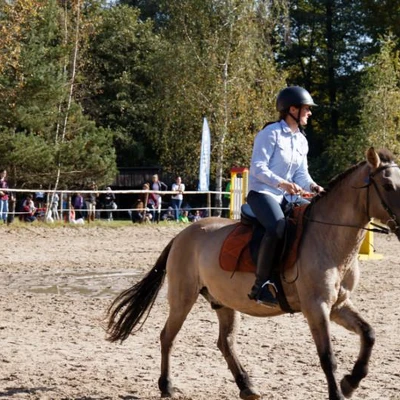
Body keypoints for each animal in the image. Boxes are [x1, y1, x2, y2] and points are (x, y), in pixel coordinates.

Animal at [105, 148, 400, 400]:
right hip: (182, 299)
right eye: (388, 186)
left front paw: (351, 382)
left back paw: (246, 385)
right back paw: (167, 386)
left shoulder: (338, 305)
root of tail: (182, 235)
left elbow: (369, 333)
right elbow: (327, 356)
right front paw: (340, 390)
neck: (328, 238)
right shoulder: (316, 307)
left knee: (225, 343)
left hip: (223, 301)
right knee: (168, 336)